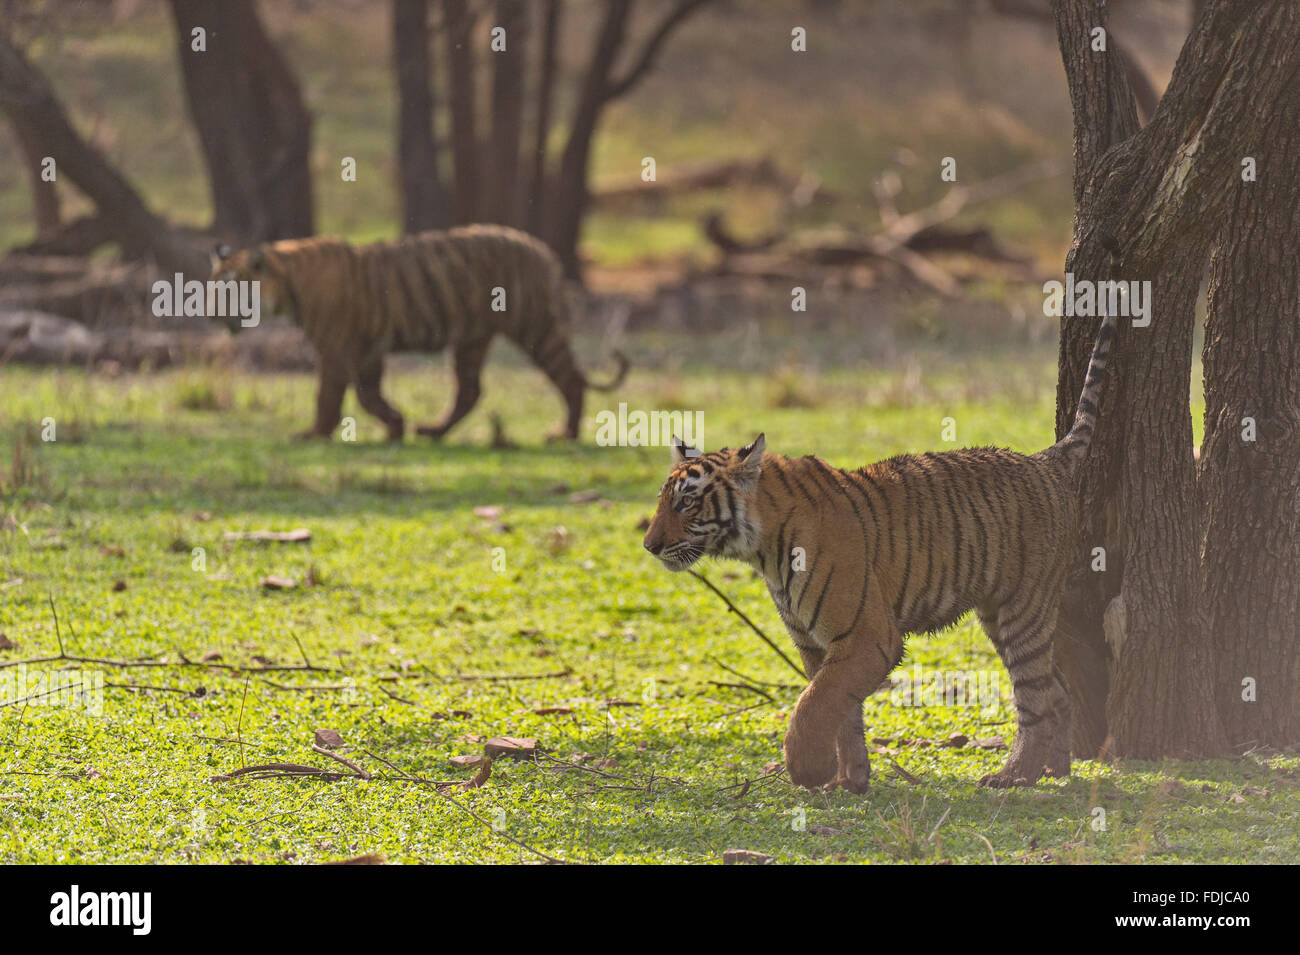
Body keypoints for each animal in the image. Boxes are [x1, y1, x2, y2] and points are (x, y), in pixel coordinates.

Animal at [209, 224, 628, 442]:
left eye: (230, 290)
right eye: (213, 286)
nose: (212, 316)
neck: (286, 282)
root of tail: (542, 250)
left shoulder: (335, 349)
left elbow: (328, 396)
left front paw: (315, 433)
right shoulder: (367, 352)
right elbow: (369, 395)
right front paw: (396, 426)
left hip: (535, 328)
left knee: (571, 379)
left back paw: (565, 432)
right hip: (472, 339)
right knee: (470, 390)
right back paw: (433, 430)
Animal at [643, 310, 1117, 792]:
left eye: (686, 502)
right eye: (665, 499)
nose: (649, 544)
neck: (762, 549)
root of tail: (1044, 459)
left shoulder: (867, 635)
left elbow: (814, 705)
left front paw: (807, 770)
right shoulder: (819, 643)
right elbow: (840, 710)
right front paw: (847, 779)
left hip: (1023, 608)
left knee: (1034, 696)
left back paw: (1014, 774)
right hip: (999, 613)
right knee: (1056, 690)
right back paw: (1054, 768)